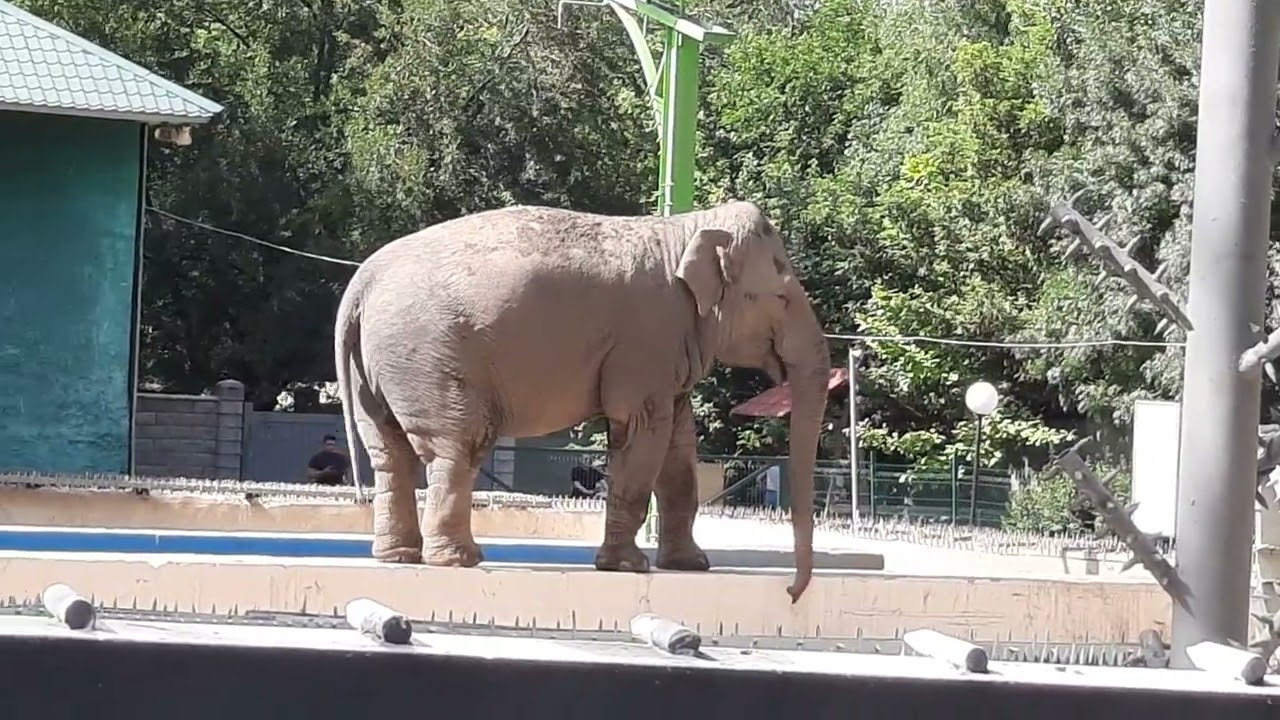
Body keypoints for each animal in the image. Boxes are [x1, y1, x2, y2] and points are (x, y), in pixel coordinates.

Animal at [333, 200, 831, 602]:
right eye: (781, 297)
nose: (791, 593)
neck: (685, 228)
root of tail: (361, 284)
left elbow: (678, 448)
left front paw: (691, 566)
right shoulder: (646, 342)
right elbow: (642, 432)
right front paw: (628, 567)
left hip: (378, 368)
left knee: (389, 453)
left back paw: (398, 557)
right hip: (430, 360)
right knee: (456, 448)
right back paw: (460, 560)